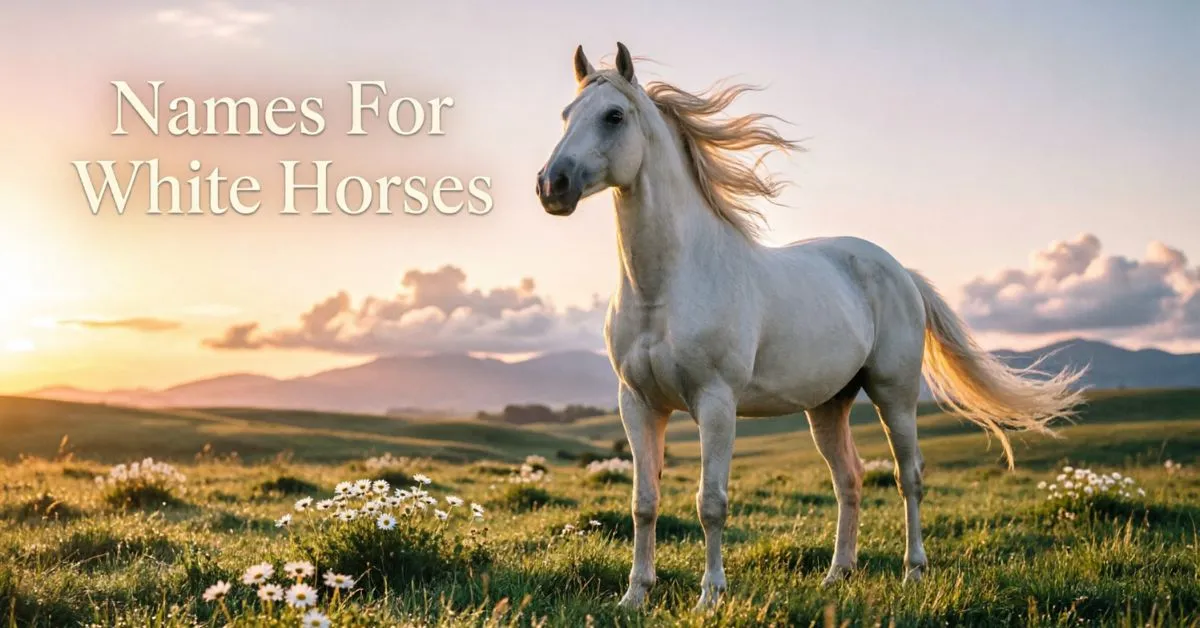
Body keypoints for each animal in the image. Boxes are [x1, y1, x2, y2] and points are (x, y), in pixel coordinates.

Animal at [535, 42, 1083, 610]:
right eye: (566, 115)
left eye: (613, 116)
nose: (551, 186)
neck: (665, 287)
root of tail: (900, 272)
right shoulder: (638, 403)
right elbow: (644, 501)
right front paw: (635, 595)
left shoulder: (715, 402)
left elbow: (712, 502)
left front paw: (711, 596)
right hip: (828, 406)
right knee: (850, 480)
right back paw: (837, 574)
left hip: (894, 395)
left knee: (908, 477)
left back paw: (913, 571)